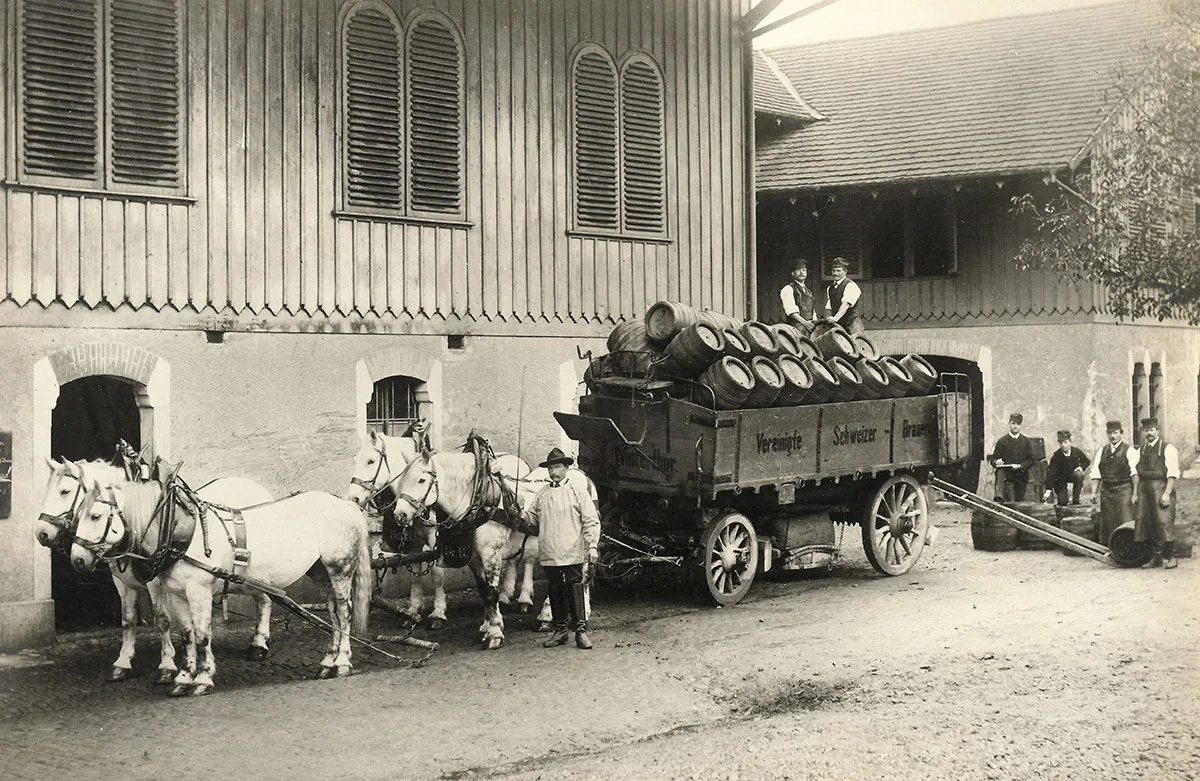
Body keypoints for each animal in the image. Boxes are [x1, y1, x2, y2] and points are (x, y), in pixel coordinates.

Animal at [34, 460, 277, 681]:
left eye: (65, 491)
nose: (42, 533)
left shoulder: (156, 583)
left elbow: (162, 620)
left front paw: (167, 665)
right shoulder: (123, 582)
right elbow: (128, 619)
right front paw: (123, 662)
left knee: (265, 599)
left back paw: (259, 644)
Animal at [69, 465, 369, 695]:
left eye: (95, 515)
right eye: (76, 515)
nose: (77, 560)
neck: (178, 530)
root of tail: (346, 504)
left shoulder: (198, 591)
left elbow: (202, 635)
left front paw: (202, 679)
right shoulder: (177, 594)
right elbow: (187, 635)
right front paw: (183, 678)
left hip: (340, 567)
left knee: (343, 612)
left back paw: (342, 662)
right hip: (321, 572)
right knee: (332, 612)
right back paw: (327, 662)